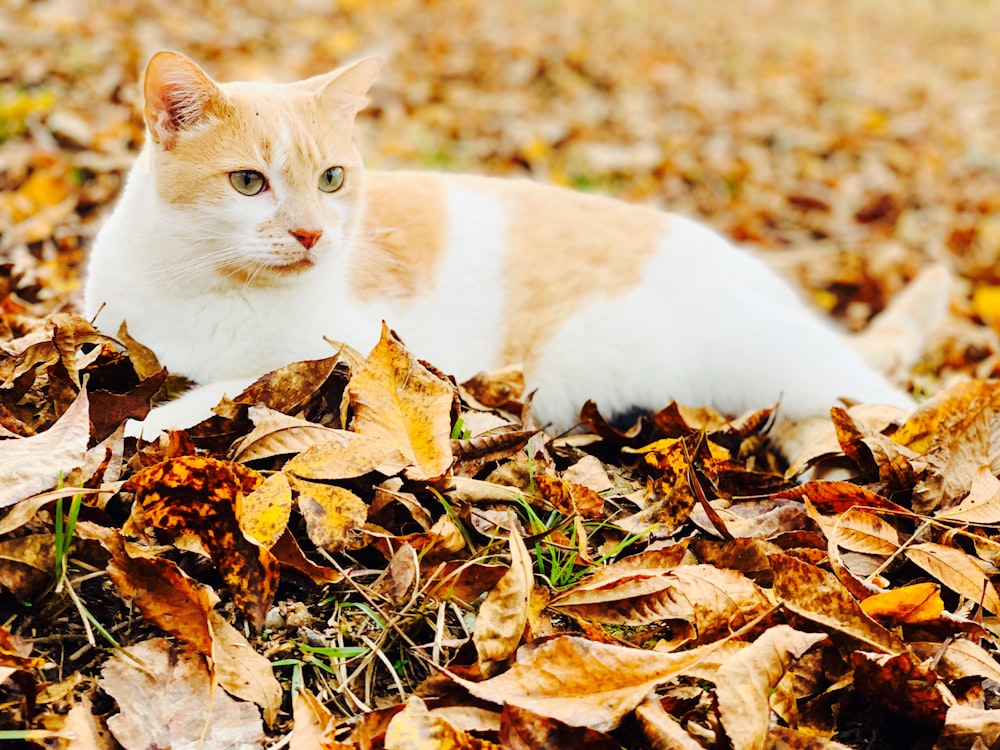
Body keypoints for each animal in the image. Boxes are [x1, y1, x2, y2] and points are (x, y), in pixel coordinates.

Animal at [82, 50, 948, 444]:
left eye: (331, 179)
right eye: (248, 183)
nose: (311, 232)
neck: (204, 282)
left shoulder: (342, 353)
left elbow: (222, 390)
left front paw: (138, 427)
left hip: (785, 363)